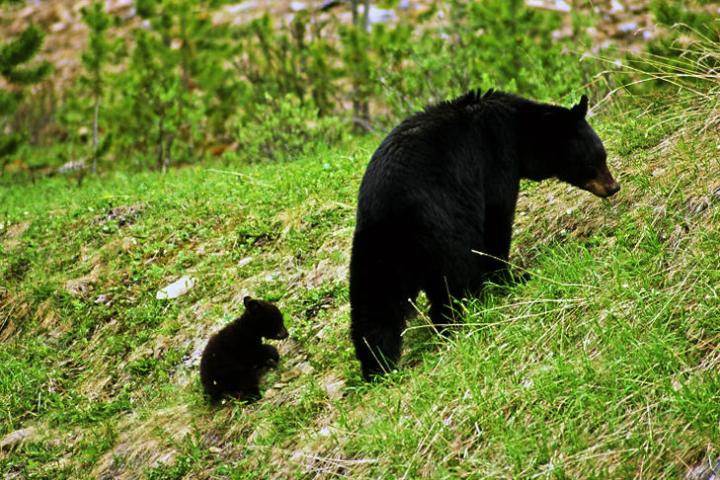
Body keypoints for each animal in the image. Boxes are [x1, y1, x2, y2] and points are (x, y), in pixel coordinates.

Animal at [348, 92, 620, 380]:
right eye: (593, 161)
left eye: (603, 155)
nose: (614, 186)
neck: (519, 131)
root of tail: (391, 216)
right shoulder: (494, 159)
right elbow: (496, 218)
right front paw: (510, 277)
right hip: (440, 228)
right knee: (455, 276)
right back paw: (460, 318)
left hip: (375, 249)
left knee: (375, 305)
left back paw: (377, 365)